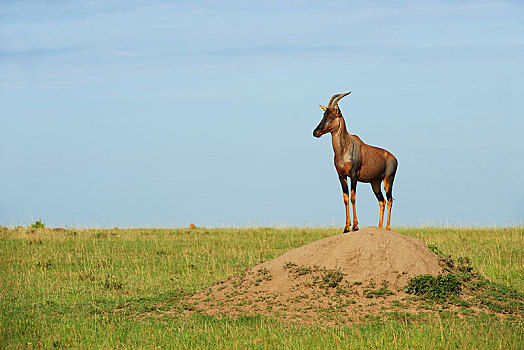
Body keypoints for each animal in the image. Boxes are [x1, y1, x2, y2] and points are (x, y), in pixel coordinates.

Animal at [316, 92, 398, 232]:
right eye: (324, 114)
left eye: (332, 115)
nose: (316, 132)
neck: (345, 147)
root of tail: (394, 158)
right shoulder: (341, 176)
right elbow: (346, 198)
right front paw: (346, 228)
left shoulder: (353, 175)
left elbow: (353, 197)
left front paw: (355, 226)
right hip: (375, 182)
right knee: (381, 201)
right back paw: (379, 227)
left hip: (388, 179)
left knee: (390, 200)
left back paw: (387, 228)